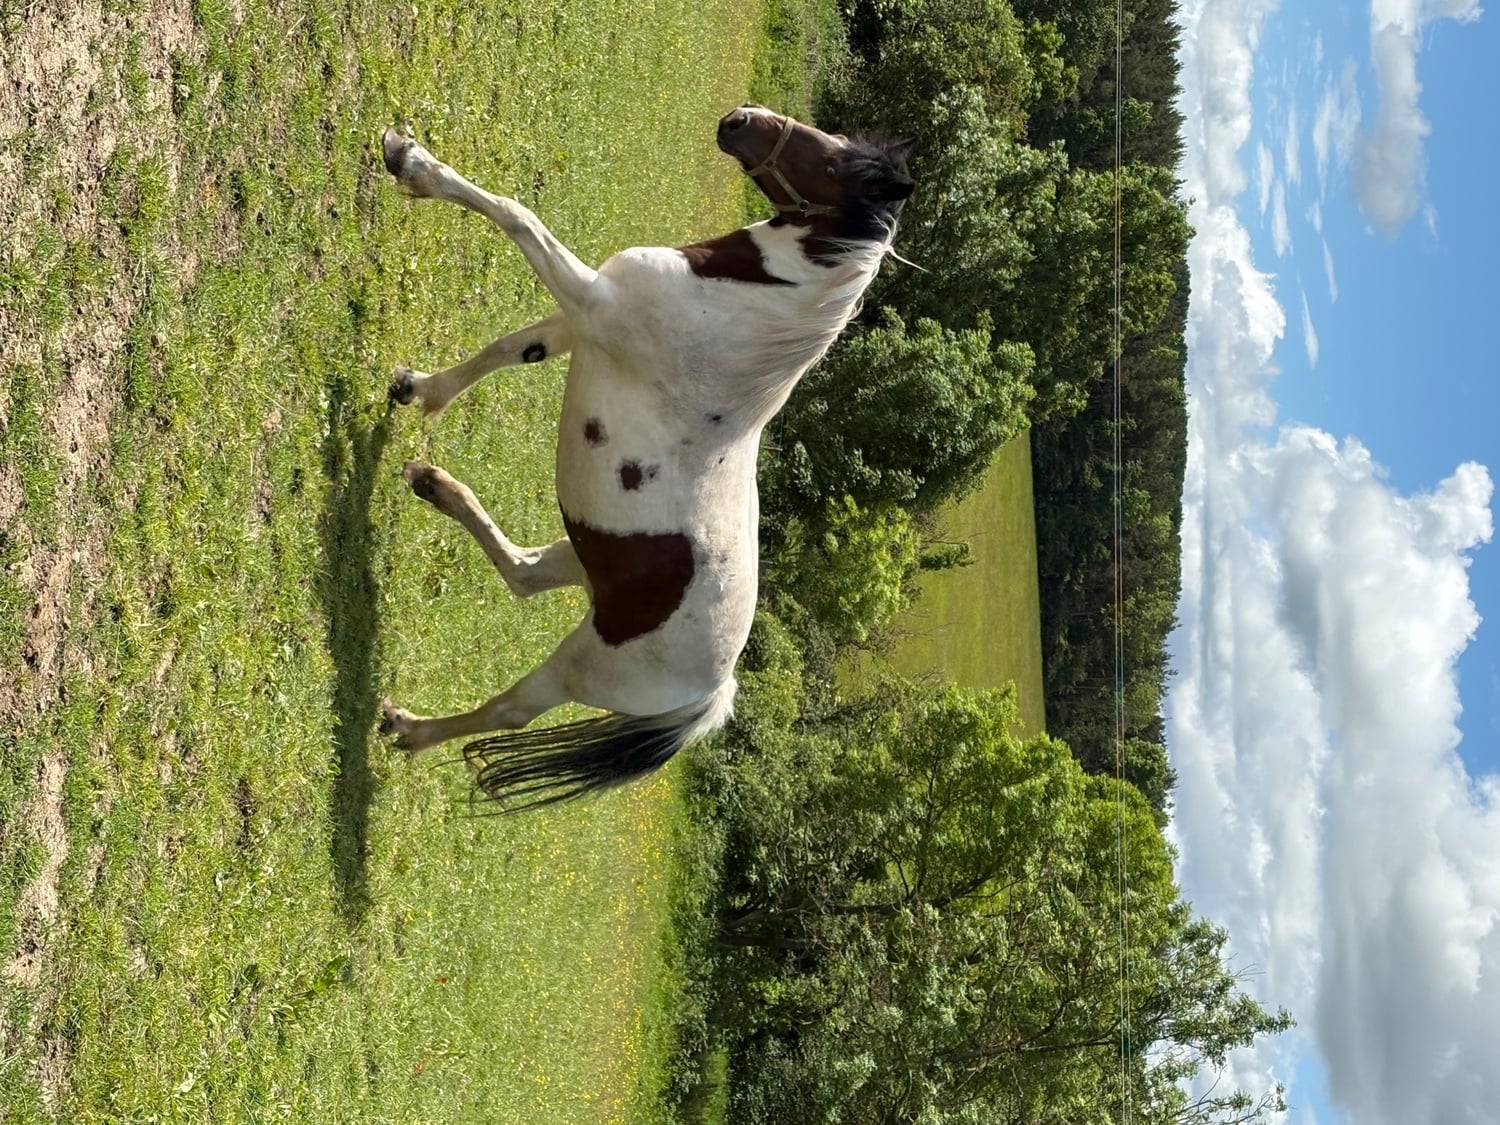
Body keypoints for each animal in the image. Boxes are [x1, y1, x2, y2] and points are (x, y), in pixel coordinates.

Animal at [377, 106, 915, 808]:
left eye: (828, 163)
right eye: (839, 144)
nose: (740, 120)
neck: (736, 312)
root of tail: (717, 691)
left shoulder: (592, 299)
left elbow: (515, 214)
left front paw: (410, 162)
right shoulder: (582, 321)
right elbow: (511, 349)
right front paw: (419, 391)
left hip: (582, 666)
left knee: (510, 709)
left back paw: (407, 727)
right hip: (585, 562)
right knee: (523, 572)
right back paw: (431, 483)